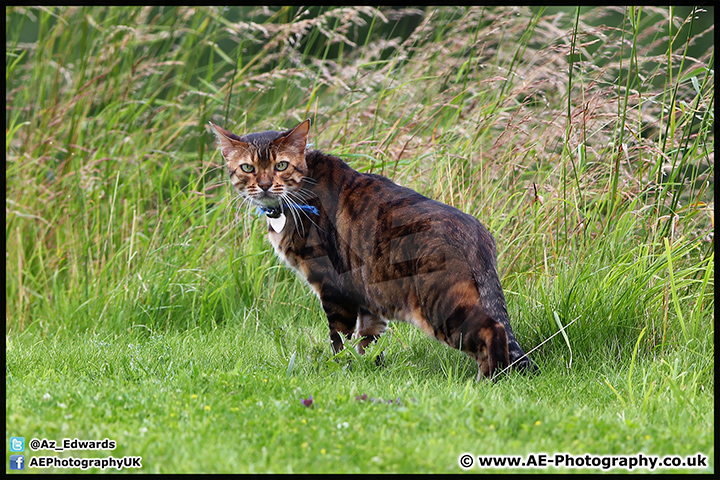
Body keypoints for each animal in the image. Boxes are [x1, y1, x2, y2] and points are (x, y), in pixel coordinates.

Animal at [211, 119, 536, 378]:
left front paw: (338, 370)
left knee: (492, 330)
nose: (265, 185)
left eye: (281, 165)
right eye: (248, 168)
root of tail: (477, 233)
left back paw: (487, 382)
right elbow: (367, 340)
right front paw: (368, 370)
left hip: (441, 304)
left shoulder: (333, 287)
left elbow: (339, 340)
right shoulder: (367, 296)